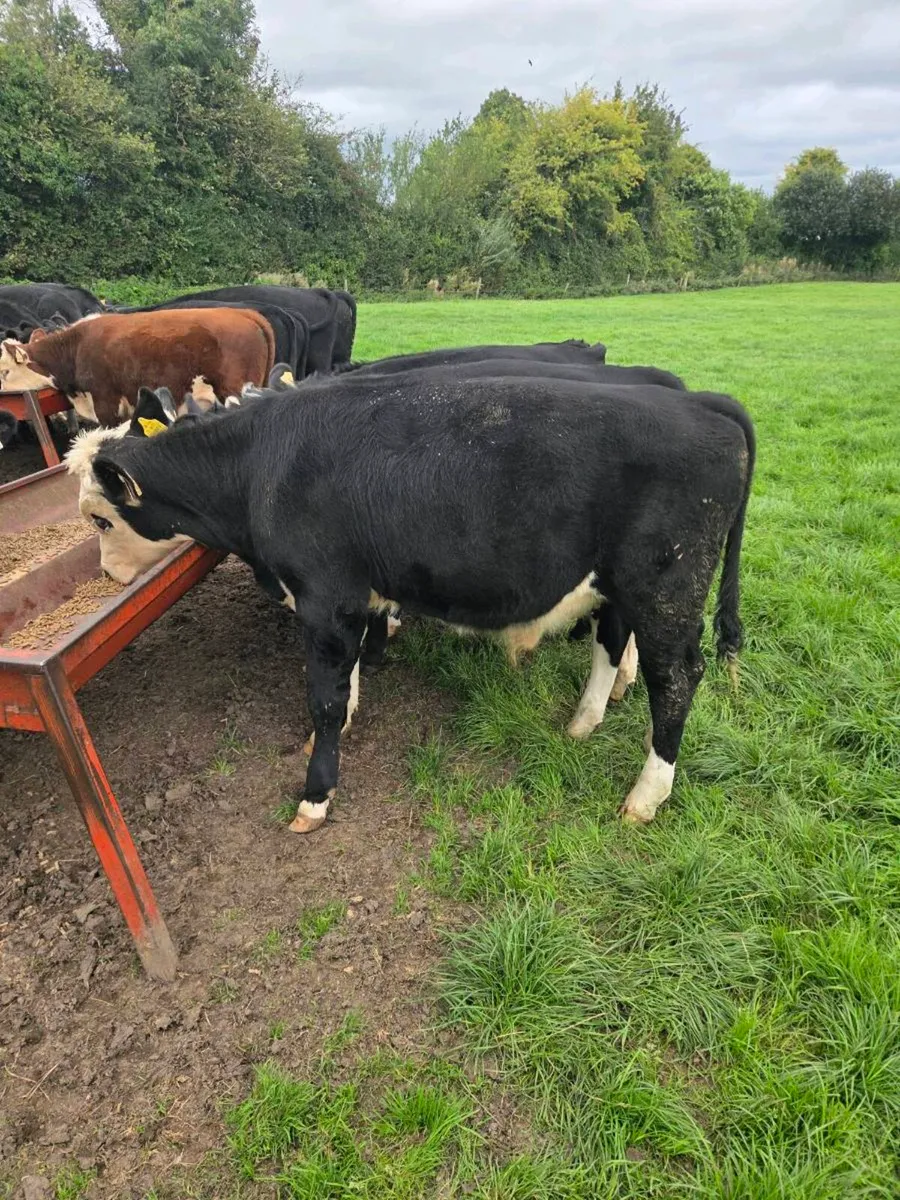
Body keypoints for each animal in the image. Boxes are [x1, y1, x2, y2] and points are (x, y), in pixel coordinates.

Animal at [72, 371, 755, 834]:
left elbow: (323, 699)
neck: (263, 463)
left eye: (100, 520)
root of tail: (698, 401)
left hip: (667, 592)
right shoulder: (350, 600)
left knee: (675, 680)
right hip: (618, 587)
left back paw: (646, 794)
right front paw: (346, 719)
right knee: (613, 645)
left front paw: (316, 794)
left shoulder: (325, 597)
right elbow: (345, 680)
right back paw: (583, 722)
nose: (105, 575)